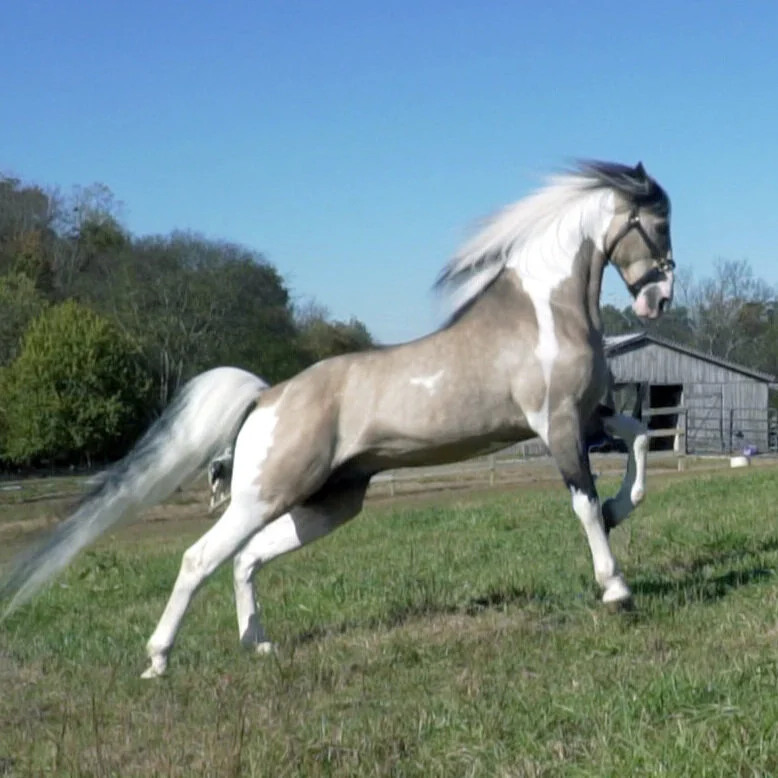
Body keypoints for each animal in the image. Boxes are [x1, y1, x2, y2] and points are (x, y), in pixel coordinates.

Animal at [0, 159, 674, 679]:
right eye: (659, 223)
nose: (658, 300)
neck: (544, 311)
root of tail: (265, 398)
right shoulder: (556, 426)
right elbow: (582, 504)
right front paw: (616, 589)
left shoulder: (589, 418)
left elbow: (640, 439)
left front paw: (621, 509)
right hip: (265, 494)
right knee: (201, 559)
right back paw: (158, 661)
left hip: (327, 502)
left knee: (245, 560)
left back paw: (259, 645)